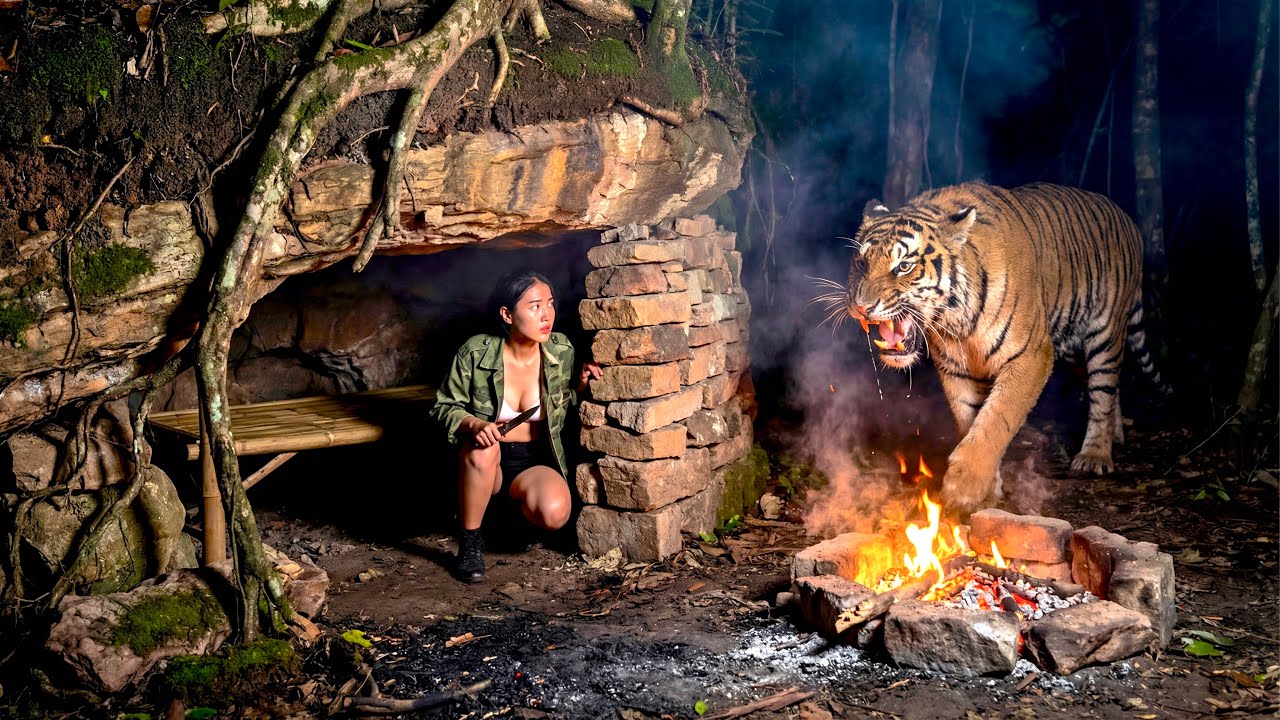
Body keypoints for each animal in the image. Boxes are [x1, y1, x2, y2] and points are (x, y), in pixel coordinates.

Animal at [844, 181, 1164, 514]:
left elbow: (996, 420)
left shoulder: (1031, 356)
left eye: (904, 266)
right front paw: (987, 493)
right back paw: (1117, 434)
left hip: (1105, 333)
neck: (956, 320)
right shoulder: (957, 369)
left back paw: (1095, 455)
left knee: (1103, 390)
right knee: (1110, 388)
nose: (861, 307)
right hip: (1075, 348)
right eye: (861, 263)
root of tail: (1124, 215)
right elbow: (971, 421)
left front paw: (964, 486)